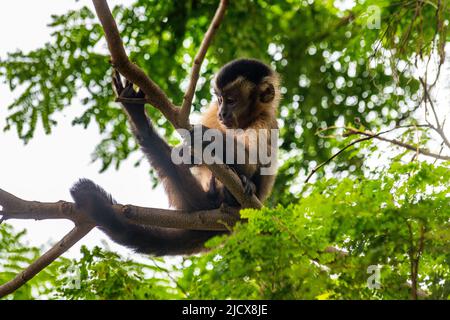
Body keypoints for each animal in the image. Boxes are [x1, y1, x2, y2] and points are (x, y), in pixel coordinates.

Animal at [70, 58, 280, 256]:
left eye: (231, 100)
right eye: (220, 100)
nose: (223, 113)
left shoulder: (265, 120)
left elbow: (251, 162)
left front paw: (208, 137)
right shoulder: (213, 112)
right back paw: (138, 118)